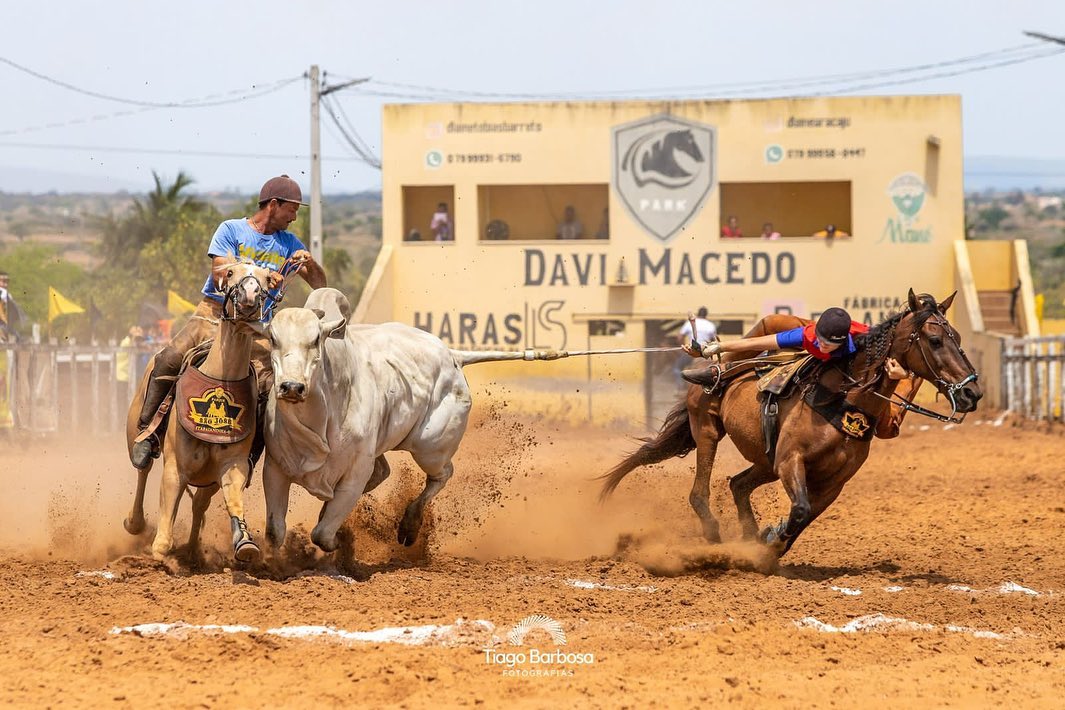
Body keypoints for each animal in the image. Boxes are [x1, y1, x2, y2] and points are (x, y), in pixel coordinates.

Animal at [263, 289, 536, 553]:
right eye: (274, 339)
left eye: (316, 340)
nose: (292, 387)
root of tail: (452, 354)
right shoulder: (275, 469)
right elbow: (275, 532)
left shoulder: (355, 476)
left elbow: (321, 534)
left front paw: (340, 544)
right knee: (385, 472)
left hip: (430, 448)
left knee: (442, 474)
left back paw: (410, 525)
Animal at [604, 291, 984, 557]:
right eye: (935, 340)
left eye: (958, 338)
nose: (972, 392)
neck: (843, 401)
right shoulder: (791, 461)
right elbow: (800, 509)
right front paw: (770, 540)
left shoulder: (833, 483)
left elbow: (805, 517)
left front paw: (769, 541)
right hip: (709, 431)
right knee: (699, 492)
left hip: (765, 461)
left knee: (738, 485)